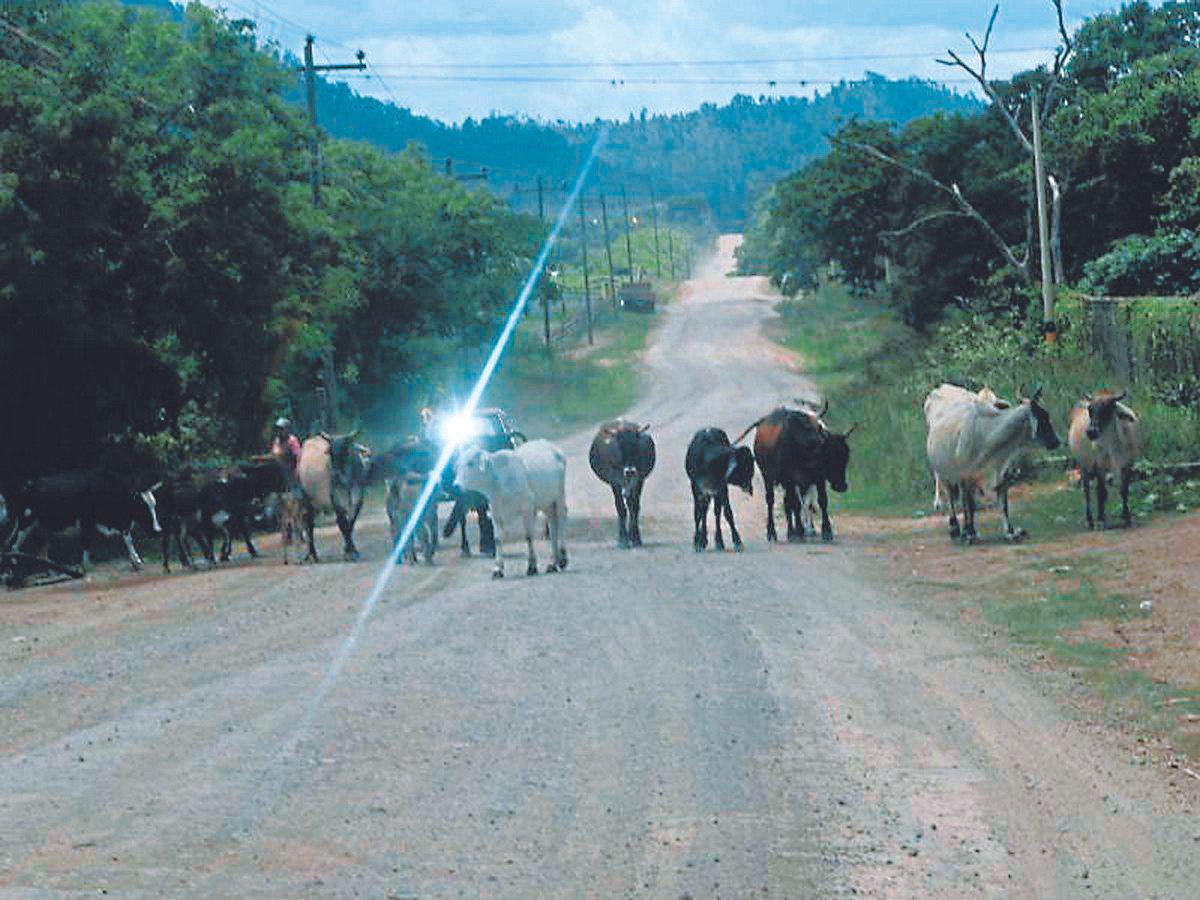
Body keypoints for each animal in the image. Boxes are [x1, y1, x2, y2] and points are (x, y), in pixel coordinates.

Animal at [7, 468, 163, 573]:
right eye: (142, 507)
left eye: (154, 505)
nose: (158, 530)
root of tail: (28, 485)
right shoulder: (86, 522)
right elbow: (87, 543)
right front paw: (85, 566)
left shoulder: (119, 523)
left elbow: (127, 539)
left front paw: (136, 561)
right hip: (25, 522)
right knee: (14, 546)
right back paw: (14, 566)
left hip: (43, 528)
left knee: (41, 553)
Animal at [451, 441, 568, 580]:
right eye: (458, 465)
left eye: (470, 463)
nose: (456, 486)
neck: (498, 481)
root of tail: (550, 445)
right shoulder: (496, 513)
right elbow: (497, 539)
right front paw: (498, 569)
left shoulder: (527, 508)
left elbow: (529, 537)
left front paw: (532, 566)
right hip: (547, 503)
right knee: (552, 525)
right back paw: (552, 563)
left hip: (559, 496)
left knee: (561, 521)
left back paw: (563, 560)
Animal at [926, 386, 1060, 542]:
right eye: (1042, 418)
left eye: (1047, 415)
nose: (1056, 441)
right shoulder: (965, 476)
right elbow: (968, 504)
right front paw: (969, 533)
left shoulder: (1002, 477)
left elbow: (1003, 505)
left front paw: (1010, 532)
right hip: (944, 473)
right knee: (951, 497)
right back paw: (954, 528)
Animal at [1070, 388, 1142, 528]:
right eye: (1090, 409)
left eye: (1107, 408)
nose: (1091, 432)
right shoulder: (1099, 466)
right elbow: (1101, 492)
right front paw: (1101, 519)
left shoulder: (1127, 464)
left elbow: (1124, 490)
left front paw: (1127, 516)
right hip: (1084, 465)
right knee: (1087, 491)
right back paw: (1090, 519)